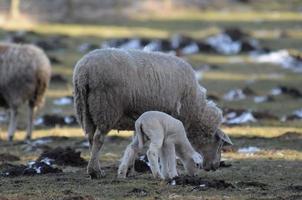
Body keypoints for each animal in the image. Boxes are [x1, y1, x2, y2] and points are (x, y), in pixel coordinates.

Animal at [73, 48, 234, 178]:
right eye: (219, 143)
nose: (215, 167)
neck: (196, 112)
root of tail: (84, 71)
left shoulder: (139, 120)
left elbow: (135, 144)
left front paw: (130, 170)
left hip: (86, 110)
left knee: (91, 138)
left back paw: (94, 167)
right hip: (106, 108)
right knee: (98, 139)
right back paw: (95, 172)